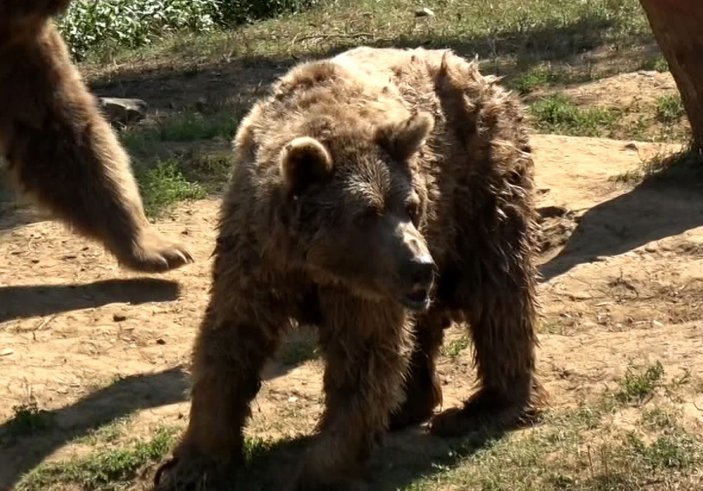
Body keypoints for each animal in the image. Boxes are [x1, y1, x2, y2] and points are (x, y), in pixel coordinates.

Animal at [155, 46, 544, 491]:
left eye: (409, 206)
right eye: (367, 213)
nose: (420, 266)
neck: (314, 262)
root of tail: (476, 69)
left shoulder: (363, 287)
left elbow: (363, 358)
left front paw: (325, 468)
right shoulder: (256, 259)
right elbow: (230, 343)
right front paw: (191, 465)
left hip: (479, 184)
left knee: (497, 289)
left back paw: (484, 406)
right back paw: (408, 405)